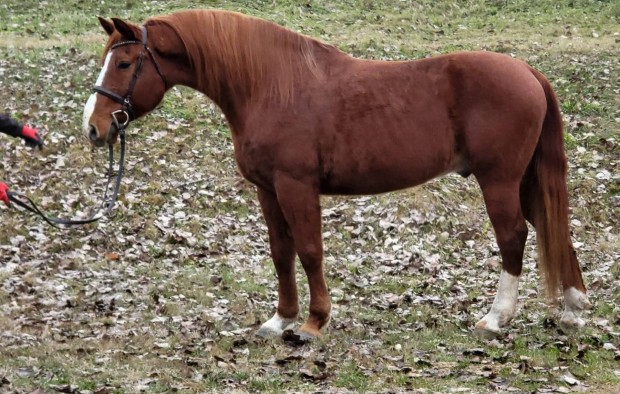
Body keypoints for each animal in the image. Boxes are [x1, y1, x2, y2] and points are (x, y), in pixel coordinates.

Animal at [83, 10, 592, 340]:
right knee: (553, 227)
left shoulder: (296, 186)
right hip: (524, 180)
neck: (270, 85)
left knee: (514, 236)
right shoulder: (268, 190)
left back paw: (495, 318)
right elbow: (281, 252)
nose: (94, 126)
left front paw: (313, 323)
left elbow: (310, 251)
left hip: (498, 181)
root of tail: (526, 71)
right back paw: (572, 310)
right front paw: (280, 320)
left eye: (124, 63)